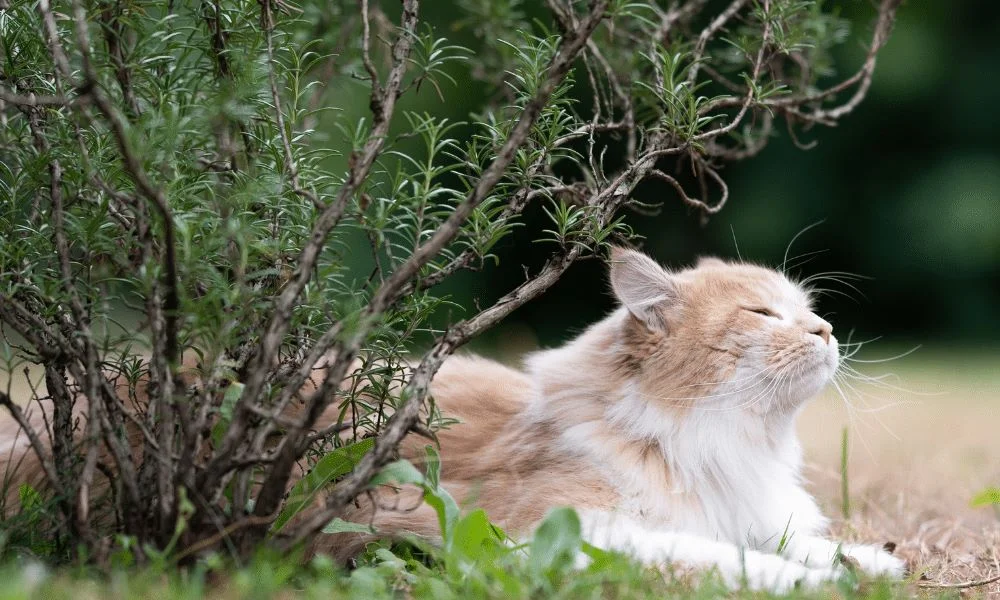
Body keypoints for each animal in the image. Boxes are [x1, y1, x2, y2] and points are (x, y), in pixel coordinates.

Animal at [328, 247, 908, 592]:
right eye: (762, 314)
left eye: (808, 312)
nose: (826, 329)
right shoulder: (563, 531)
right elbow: (722, 556)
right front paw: (808, 582)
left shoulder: (744, 513)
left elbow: (804, 547)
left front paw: (870, 562)